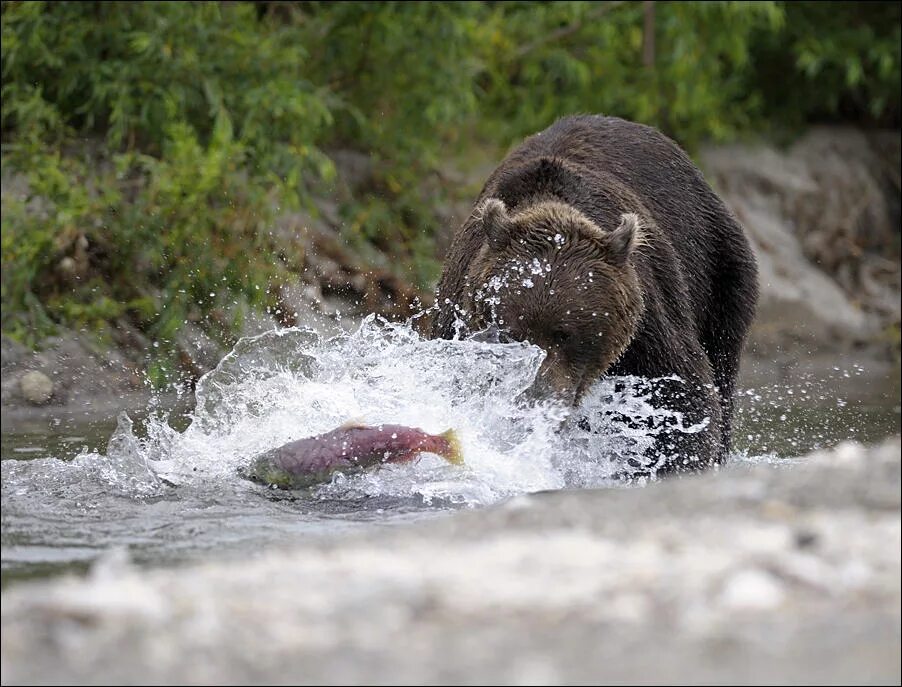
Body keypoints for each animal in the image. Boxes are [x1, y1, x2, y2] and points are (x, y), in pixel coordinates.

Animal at [434, 117, 760, 472]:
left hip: (719, 268)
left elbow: (680, 396)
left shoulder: (645, 324)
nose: (536, 400)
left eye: (566, 334)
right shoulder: (457, 312)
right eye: (511, 334)